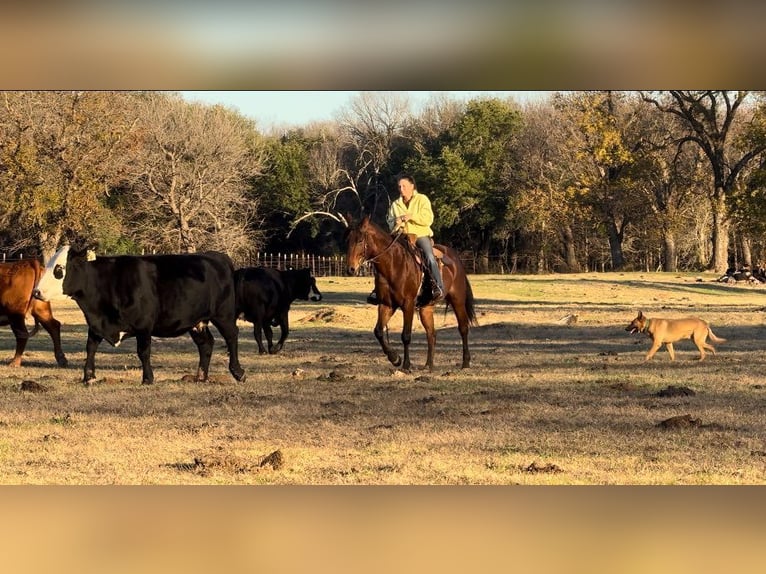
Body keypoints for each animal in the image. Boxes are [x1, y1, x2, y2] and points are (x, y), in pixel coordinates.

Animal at [34, 246, 246, 388]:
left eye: (59, 269)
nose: (36, 292)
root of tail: (216, 256)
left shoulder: (144, 326)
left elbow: (143, 351)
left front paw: (148, 378)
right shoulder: (96, 324)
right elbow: (91, 348)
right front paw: (88, 377)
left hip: (223, 315)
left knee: (231, 337)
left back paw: (238, 372)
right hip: (197, 321)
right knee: (206, 344)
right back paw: (201, 376)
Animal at [346, 216, 476, 374]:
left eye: (360, 240)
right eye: (347, 239)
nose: (350, 269)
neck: (393, 264)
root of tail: (456, 258)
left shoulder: (407, 305)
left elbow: (406, 335)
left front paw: (406, 365)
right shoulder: (386, 305)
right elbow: (378, 331)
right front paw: (395, 358)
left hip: (457, 300)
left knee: (463, 328)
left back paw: (465, 362)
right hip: (426, 308)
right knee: (431, 334)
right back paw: (428, 365)